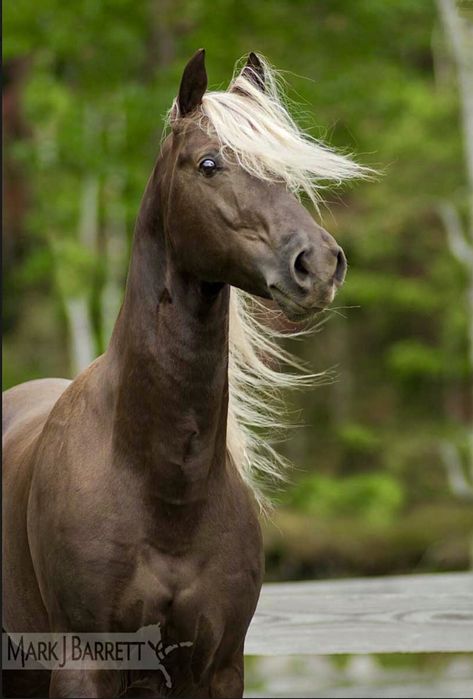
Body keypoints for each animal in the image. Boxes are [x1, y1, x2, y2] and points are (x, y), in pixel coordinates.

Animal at [2, 50, 366, 699]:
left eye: (286, 172)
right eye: (208, 164)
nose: (318, 264)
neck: (164, 489)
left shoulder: (217, 667)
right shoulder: (83, 662)